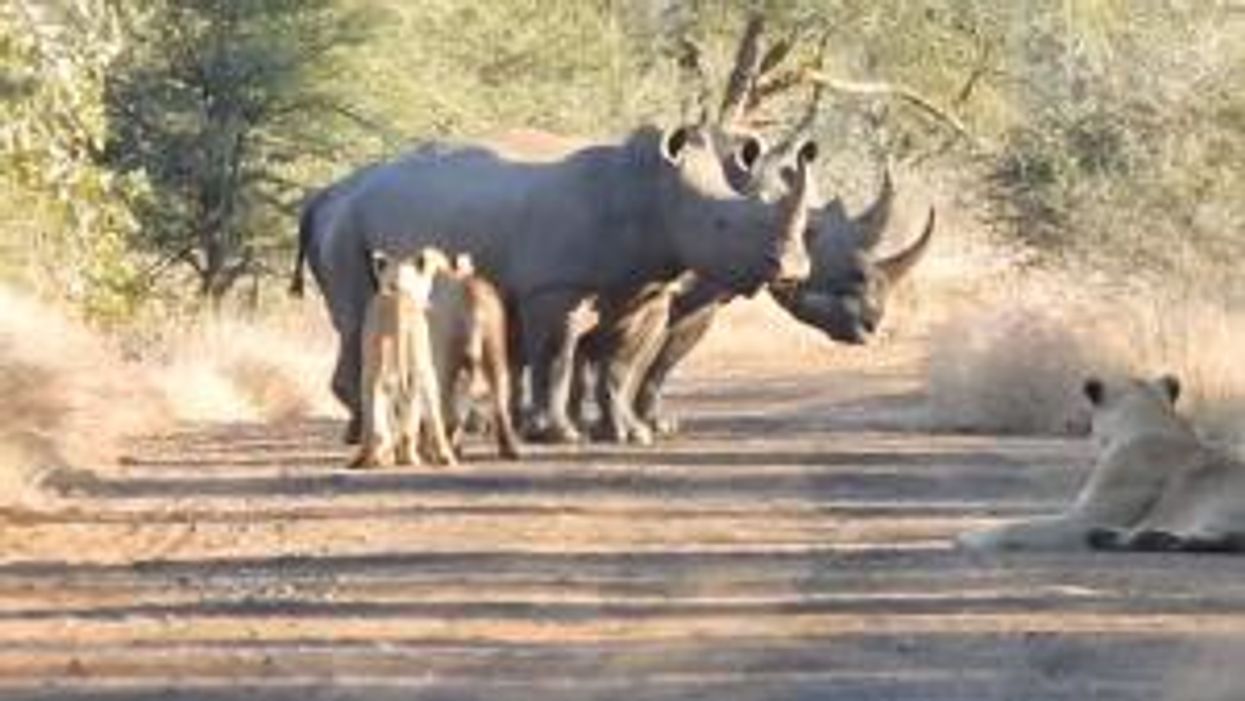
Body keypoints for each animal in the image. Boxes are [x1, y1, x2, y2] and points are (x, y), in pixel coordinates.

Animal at [290, 124, 815, 444]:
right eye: (721, 224)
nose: (792, 267)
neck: (652, 193)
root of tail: (327, 192)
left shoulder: (645, 291)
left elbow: (620, 366)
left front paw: (628, 434)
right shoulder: (554, 289)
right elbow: (559, 360)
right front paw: (561, 434)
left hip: (358, 222)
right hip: (347, 226)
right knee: (361, 320)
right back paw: (384, 432)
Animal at [350, 249, 457, 469]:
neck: (398, 287)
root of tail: (398, 303)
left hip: (378, 369)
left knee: (377, 417)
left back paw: (376, 458)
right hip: (419, 366)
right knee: (429, 409)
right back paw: (435, 457)